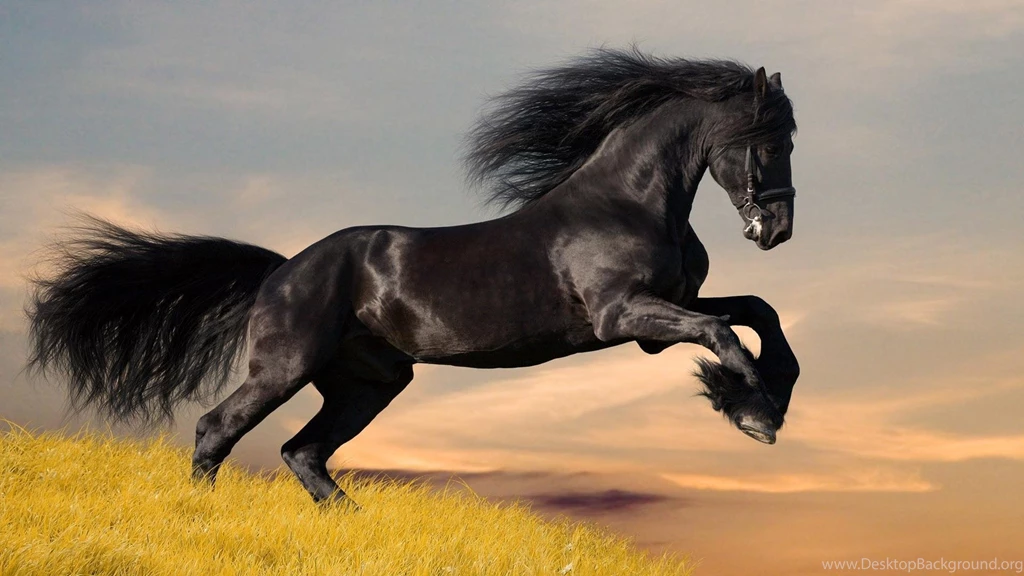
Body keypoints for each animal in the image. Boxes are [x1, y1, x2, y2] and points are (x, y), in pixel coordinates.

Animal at [27, 48, 800, 505]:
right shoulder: (624, 317)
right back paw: (202, 515)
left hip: (368, 383)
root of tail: (282, 271)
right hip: (285, 367)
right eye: (766, 141)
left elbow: (756, 312)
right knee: (218, 429)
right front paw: (753, 413)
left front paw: (766, 398)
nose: (777, 230)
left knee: (302, 451)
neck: (629, 201)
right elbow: (722, 332)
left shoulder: (660, 314)